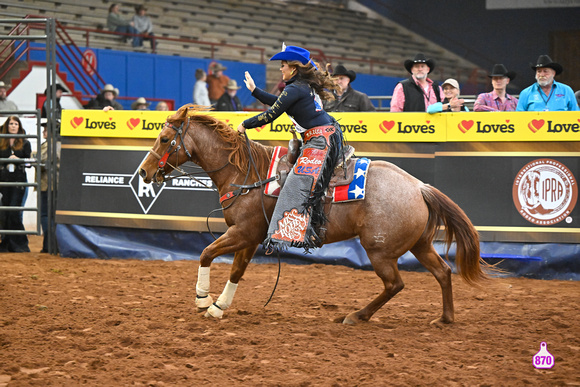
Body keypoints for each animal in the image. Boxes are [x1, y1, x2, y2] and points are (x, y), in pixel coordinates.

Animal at [140, 104, 490, 326]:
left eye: (165, 138)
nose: (144, 172)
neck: (246, 172)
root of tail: (419, 187)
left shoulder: (242, 233)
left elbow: (206, 252)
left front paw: (202, 299)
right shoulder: (250, 238)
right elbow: (236, 271)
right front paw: (218, 307)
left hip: (379, 250)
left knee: (395, 284)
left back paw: (355, 316)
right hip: (419, 244)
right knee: (442, 272)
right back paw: (444, 318)